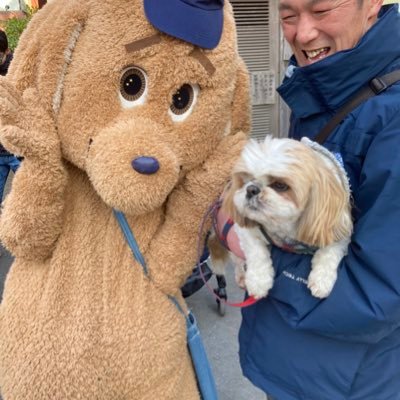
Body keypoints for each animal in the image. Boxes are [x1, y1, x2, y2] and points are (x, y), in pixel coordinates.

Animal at [209, 136, 354, 298]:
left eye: (280, 185)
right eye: (246, 180)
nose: (251, 189)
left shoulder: (337, 230)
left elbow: (329, 252)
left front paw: (322, 279)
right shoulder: (244, 230)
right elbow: (256, 252)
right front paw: (258, 282)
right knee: (238, 261)